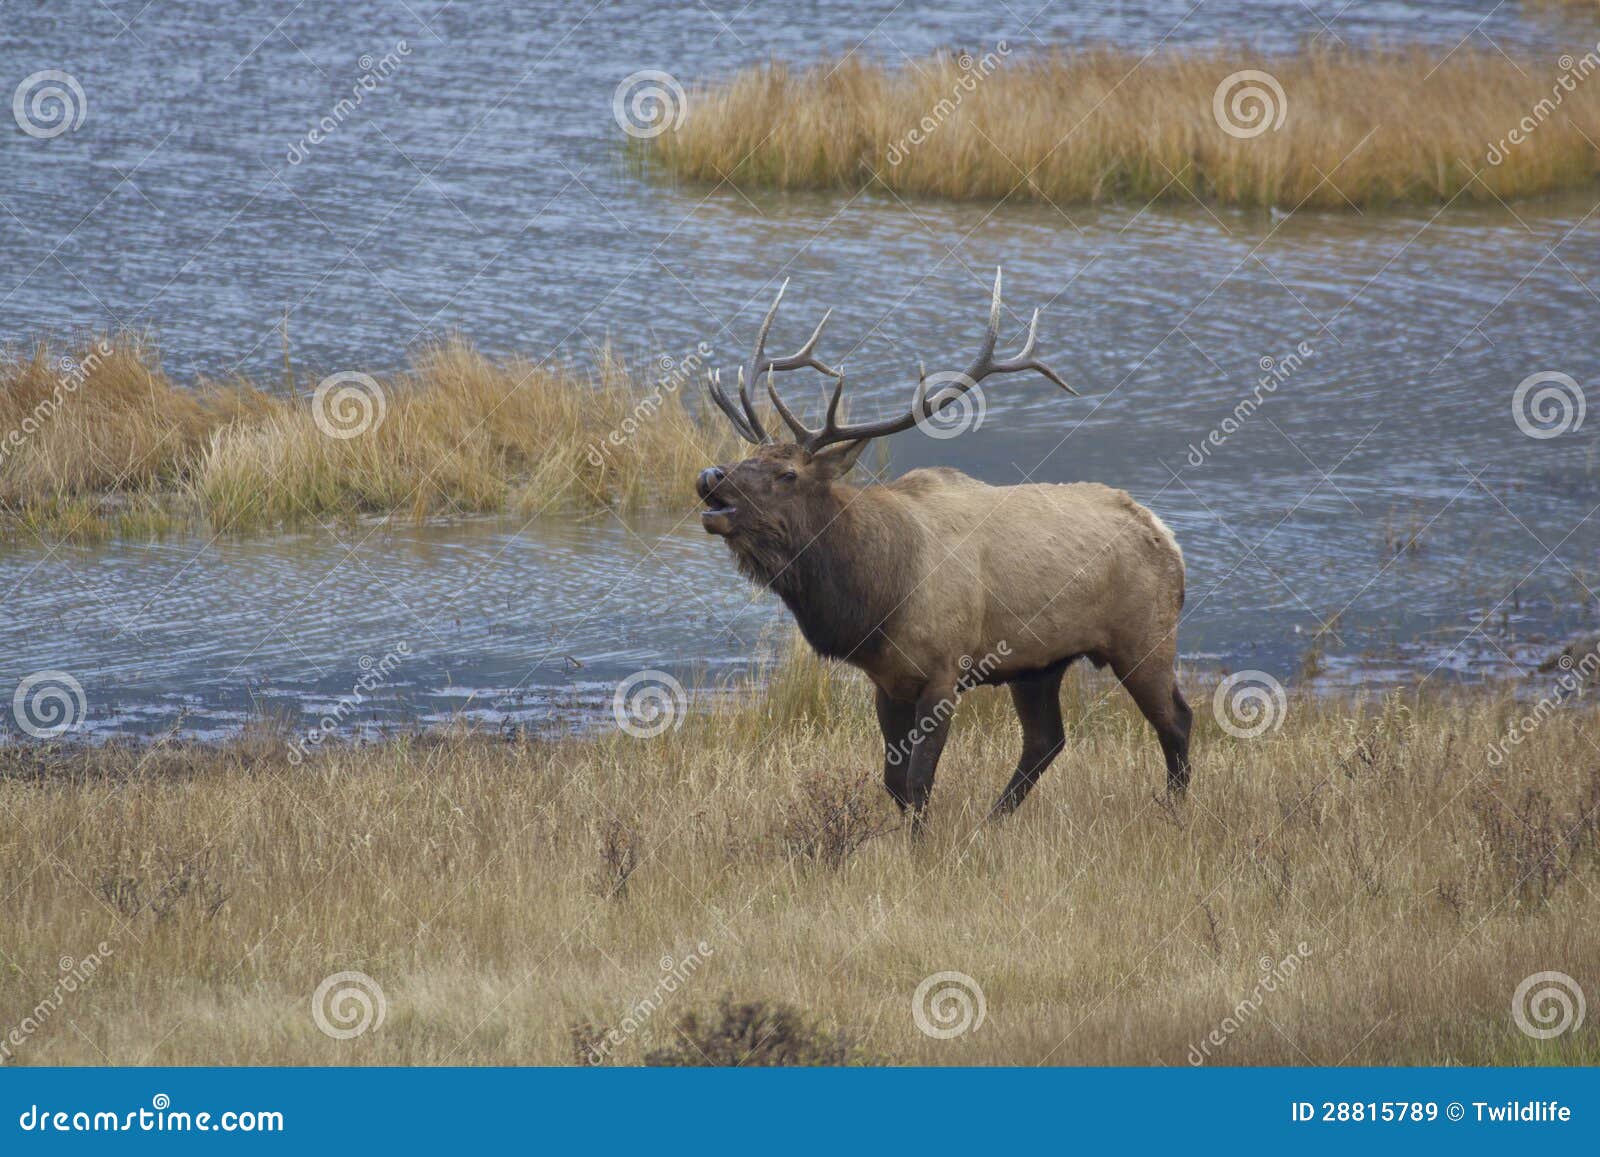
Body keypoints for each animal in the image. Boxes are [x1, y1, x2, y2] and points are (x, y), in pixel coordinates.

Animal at [694, 272, 1196, 819]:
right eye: (747, 457)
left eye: (788, 474)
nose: (710, 478)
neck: (878, 595)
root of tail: (1166, 535)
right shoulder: (887, 681)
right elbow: (893, 782)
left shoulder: (943, 672)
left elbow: (919, 782)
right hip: (1039, 664)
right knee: (1046, 740)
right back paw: (994, 820)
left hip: (1145, 636)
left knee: (1177, 721)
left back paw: (1174, 813)